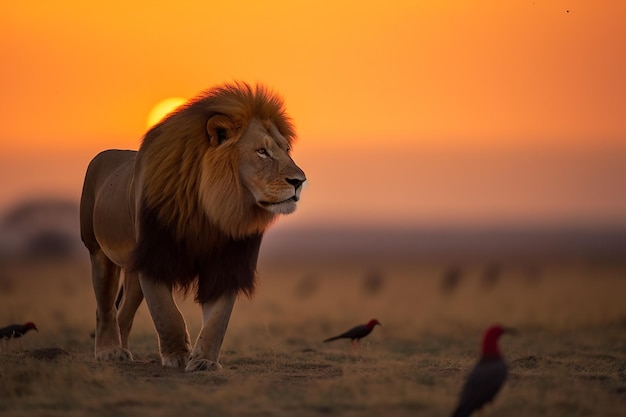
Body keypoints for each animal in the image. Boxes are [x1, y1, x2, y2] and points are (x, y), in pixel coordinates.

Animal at [80, 82, 304, 370]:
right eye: (261, 151)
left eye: (286, 150)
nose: (300, 181)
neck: (209, 210)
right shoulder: (154, 255)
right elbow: (167, 314)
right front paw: (177, 355)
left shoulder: (226, 264)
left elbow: (218, 320)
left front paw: (204, 361)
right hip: (98, 251)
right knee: (105, 306)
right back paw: (109, 352)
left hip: (132, 268)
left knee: (123, 313)